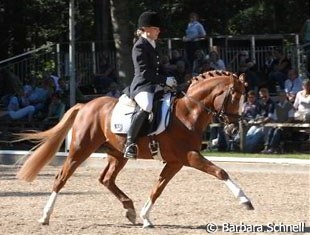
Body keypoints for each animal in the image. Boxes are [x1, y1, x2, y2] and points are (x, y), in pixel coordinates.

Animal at [17, 70, 253, 228]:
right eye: (234, 96)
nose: (233, 128)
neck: (189, 111)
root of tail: (85, 105)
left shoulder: (176, 161)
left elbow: (158, 187)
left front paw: (146, 217)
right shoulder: (189, 156)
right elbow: (220, 172)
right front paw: (245, 201)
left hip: (118, 154)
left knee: (106, 179)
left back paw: (129, 209)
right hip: (80, 149)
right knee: (61, 177)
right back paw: (45, 216)